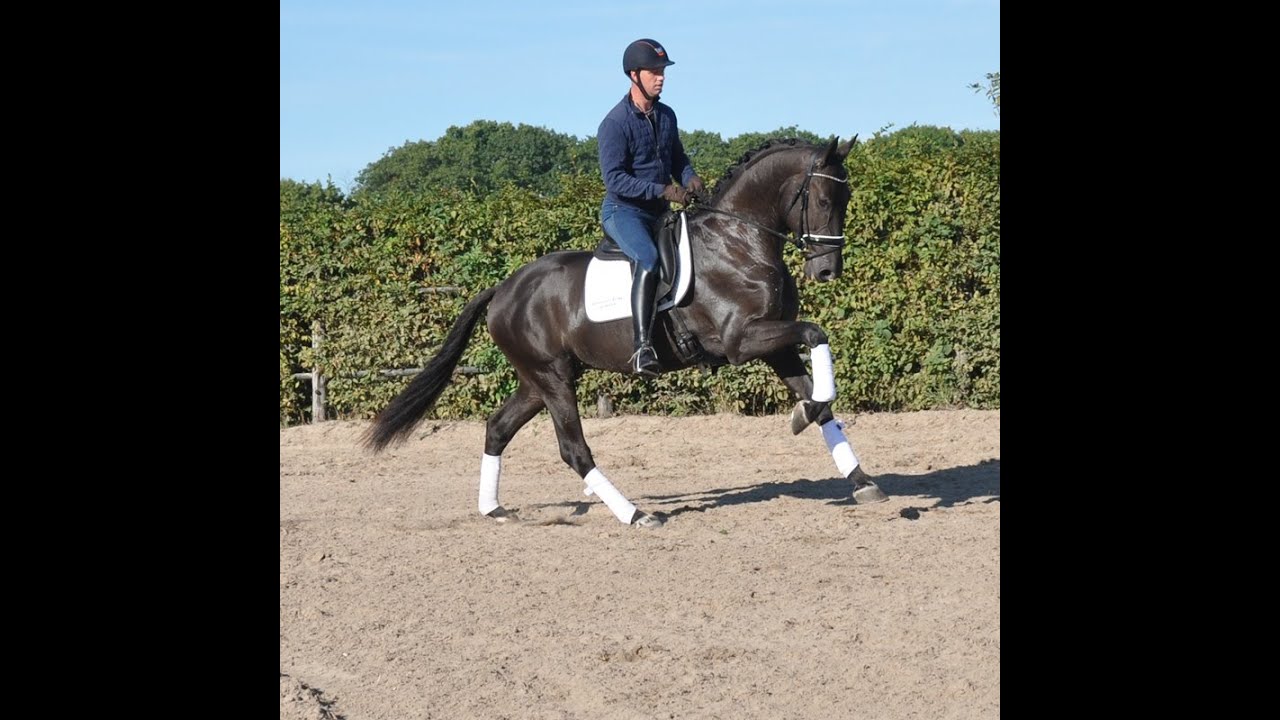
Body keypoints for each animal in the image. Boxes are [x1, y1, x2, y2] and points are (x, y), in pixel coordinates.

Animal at [363, 135, 888, 527]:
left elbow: (821, 396)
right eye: (824, 199)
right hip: (553, 378)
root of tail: (504, 288)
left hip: (538, 380)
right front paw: (804, 414)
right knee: (573, 449)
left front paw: (859, 477)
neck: (738, 240)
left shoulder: (774, 345)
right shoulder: (742, 341)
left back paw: (494, 509)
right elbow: (817, 333)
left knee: (497, 428)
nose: (827, 271)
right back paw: (635, 514)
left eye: (847, 199)